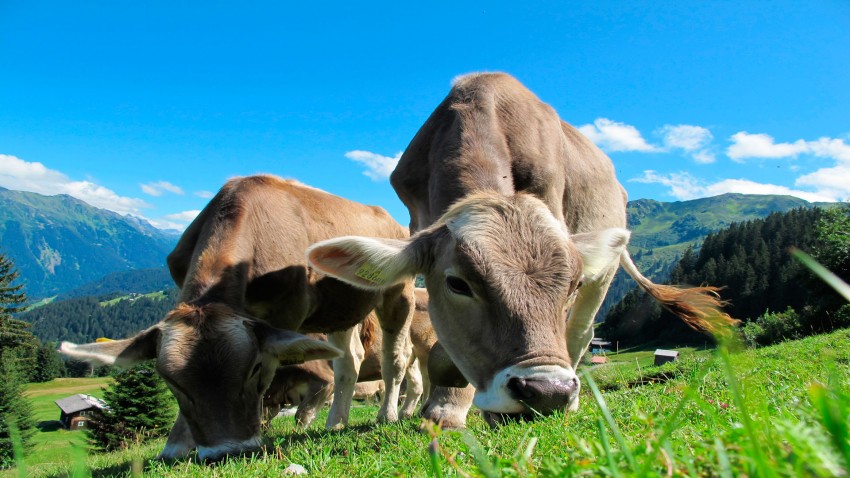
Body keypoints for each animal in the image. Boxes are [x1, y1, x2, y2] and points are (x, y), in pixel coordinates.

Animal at [59, 175, 415, 461]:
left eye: (253, 369)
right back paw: (336, 421)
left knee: (395, 358)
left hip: (399, 292)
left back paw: (387, 414)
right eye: (170, 381)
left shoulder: (286, 313)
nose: (226, 451)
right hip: (339, 309)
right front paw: (176, 445)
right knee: (349, 360)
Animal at [307, 72, 735, 428]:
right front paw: (445, 406)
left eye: (571, 285)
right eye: (457, 284)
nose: (547, 393)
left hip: (605, 272)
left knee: (580, 332)